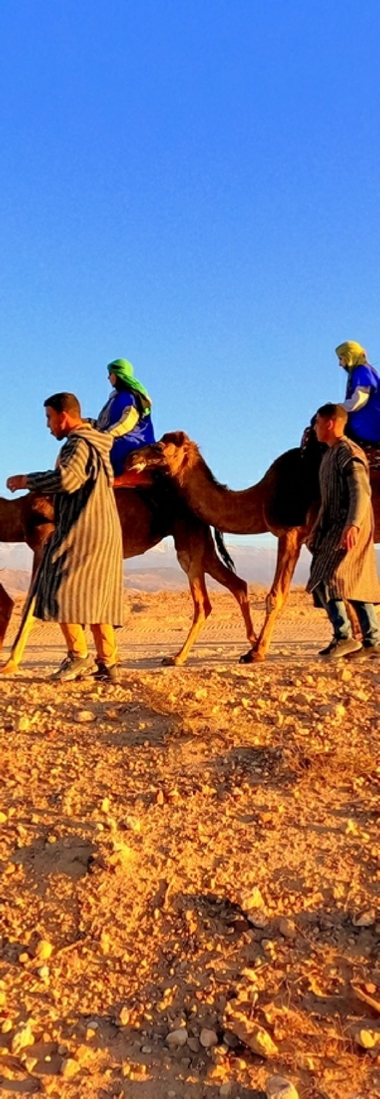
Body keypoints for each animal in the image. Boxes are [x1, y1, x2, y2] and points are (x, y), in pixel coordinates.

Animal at [0, 479, 254, 672]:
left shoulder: (44, 545)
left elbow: (31, 607)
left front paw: (10, 663)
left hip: (188, 542)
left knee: (203, 602)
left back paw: (177, 657)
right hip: (202, 542)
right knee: (237, 584)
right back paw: (253, 646)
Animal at [121, 428, 380, 659]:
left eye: (159, 447)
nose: (130, 457)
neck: (261, 497)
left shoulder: (290, 533)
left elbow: (276, 595)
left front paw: (256, 652)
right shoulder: (313, 538)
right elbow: (335, 587)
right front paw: (351, 643)